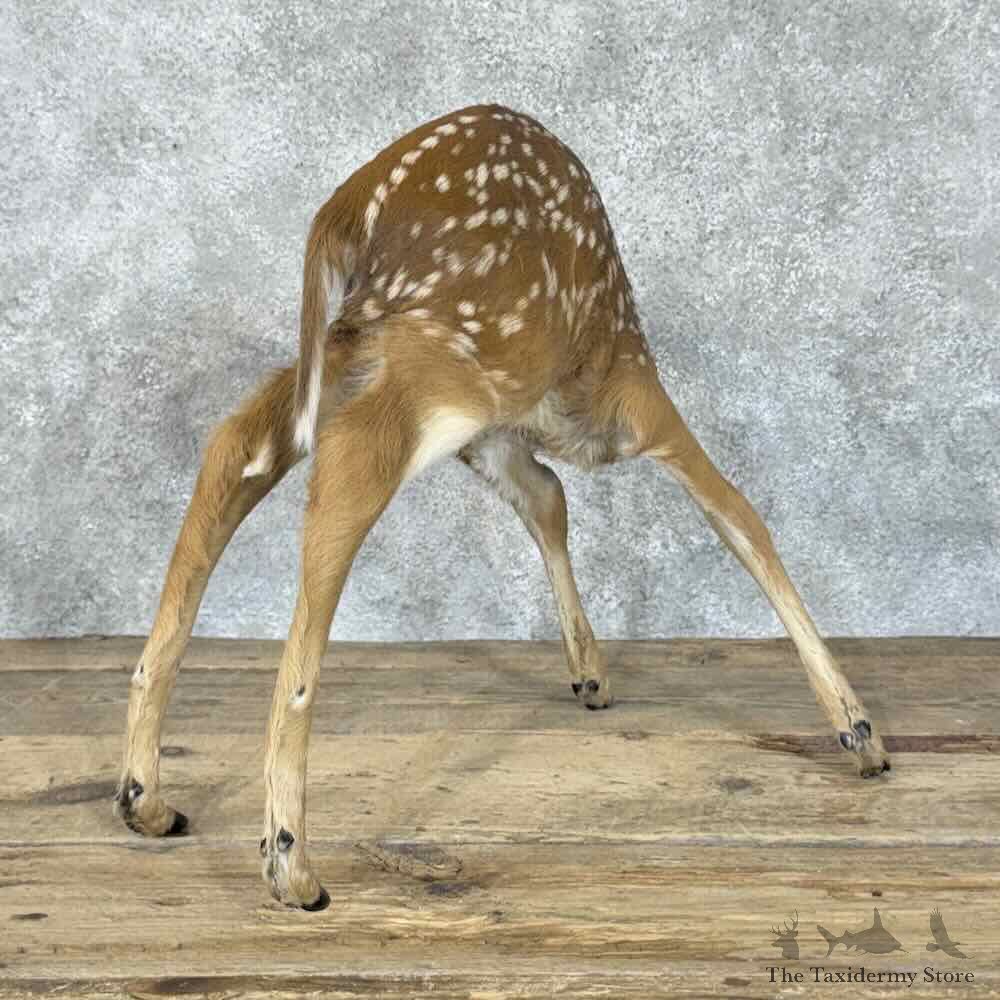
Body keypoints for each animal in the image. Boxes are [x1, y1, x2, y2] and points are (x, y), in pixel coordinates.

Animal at [114, 103, 890, 911]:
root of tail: (349, 204)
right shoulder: (630, 397)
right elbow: (739, 515)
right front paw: (859, 730)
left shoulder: (495, 442)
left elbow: (549, 500)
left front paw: (590, 672)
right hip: (466, 342)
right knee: (342, 481)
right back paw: (290, 860)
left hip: (363, 343)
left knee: (236, 443)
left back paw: (146, 796)